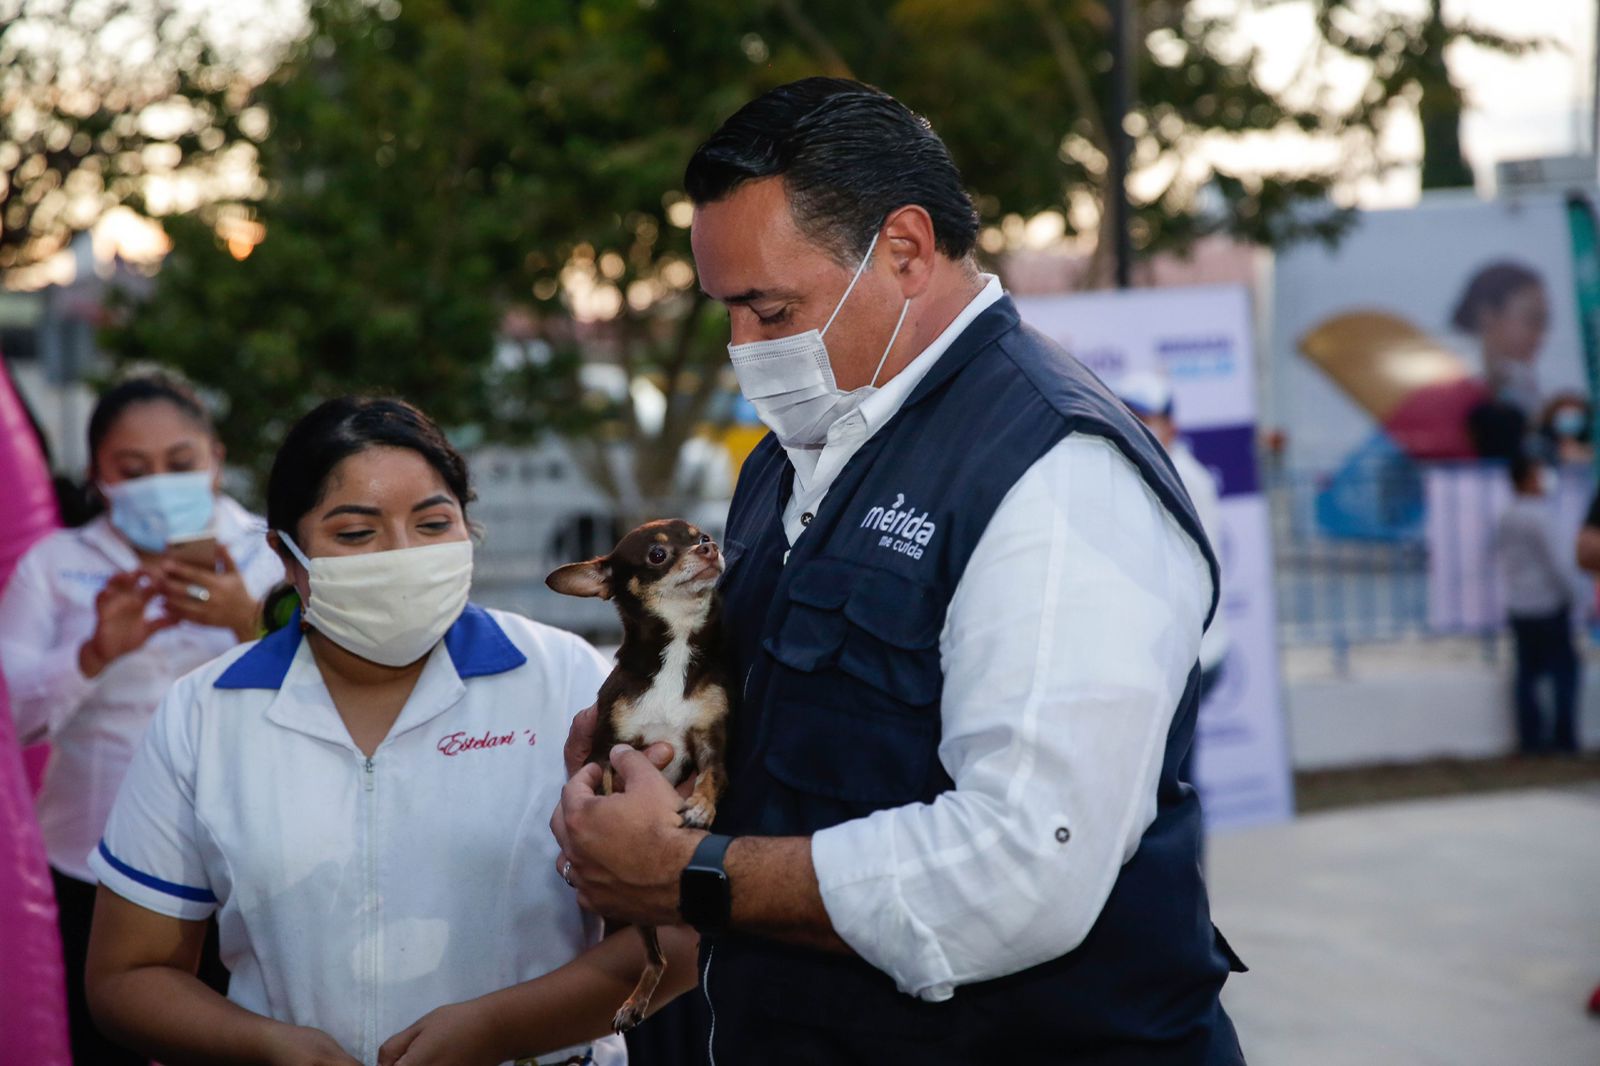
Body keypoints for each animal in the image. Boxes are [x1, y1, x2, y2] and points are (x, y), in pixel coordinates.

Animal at [544, 515, 732, 1030]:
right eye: (657, 555)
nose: (710, 547)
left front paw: (700, 807)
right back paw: (634, 1001)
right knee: (655, 958)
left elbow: (711, 776)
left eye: (701, 535)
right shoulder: (608, 751)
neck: (677, 649)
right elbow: (607, 780)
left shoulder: (710, 741)